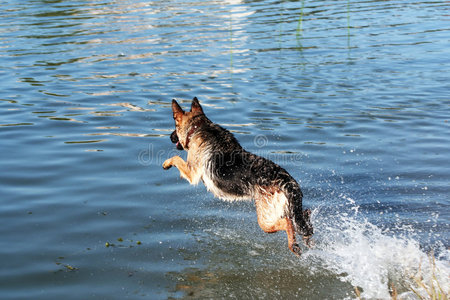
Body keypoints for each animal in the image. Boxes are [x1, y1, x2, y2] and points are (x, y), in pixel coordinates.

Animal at [163, 96, 312, 255]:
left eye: (175, 126)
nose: (170, 137)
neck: (198, 127)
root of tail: (286, 180)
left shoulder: (191, 172)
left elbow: (176, 158)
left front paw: (166, 163)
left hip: (265, 219)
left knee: (288, 223)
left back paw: (293, 245)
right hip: (286, 209)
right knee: (303, 216)